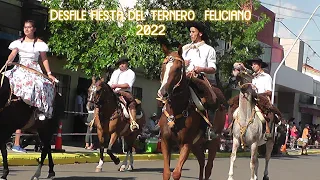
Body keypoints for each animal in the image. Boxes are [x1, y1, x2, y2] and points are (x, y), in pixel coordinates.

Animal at [157, 42, 226, 180]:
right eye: (163, 66)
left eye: (178, 69)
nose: (163, 93)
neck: (175, 110)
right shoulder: (166, 142)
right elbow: (166, 172)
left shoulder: (186, 143)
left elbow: (176, 173)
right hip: (196, 145)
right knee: (201, 160)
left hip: (213, 142)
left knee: (208, 167)